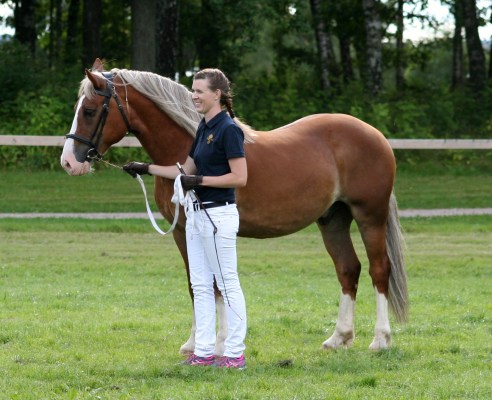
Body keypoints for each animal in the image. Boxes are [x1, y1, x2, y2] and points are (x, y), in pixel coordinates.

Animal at [61, 58, 408, 355]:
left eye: (89, 110)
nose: (68, 162)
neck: (185, 146)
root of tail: (375, 135)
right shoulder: (183, 232)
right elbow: (196, 284)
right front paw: (193, 344)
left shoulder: (208, 230)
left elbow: (216, 284)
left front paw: (217, 344)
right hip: (333, 219)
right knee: (348, 269)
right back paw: (339, 338)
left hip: (369, 216)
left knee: (379, 269)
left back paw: (380, 340)